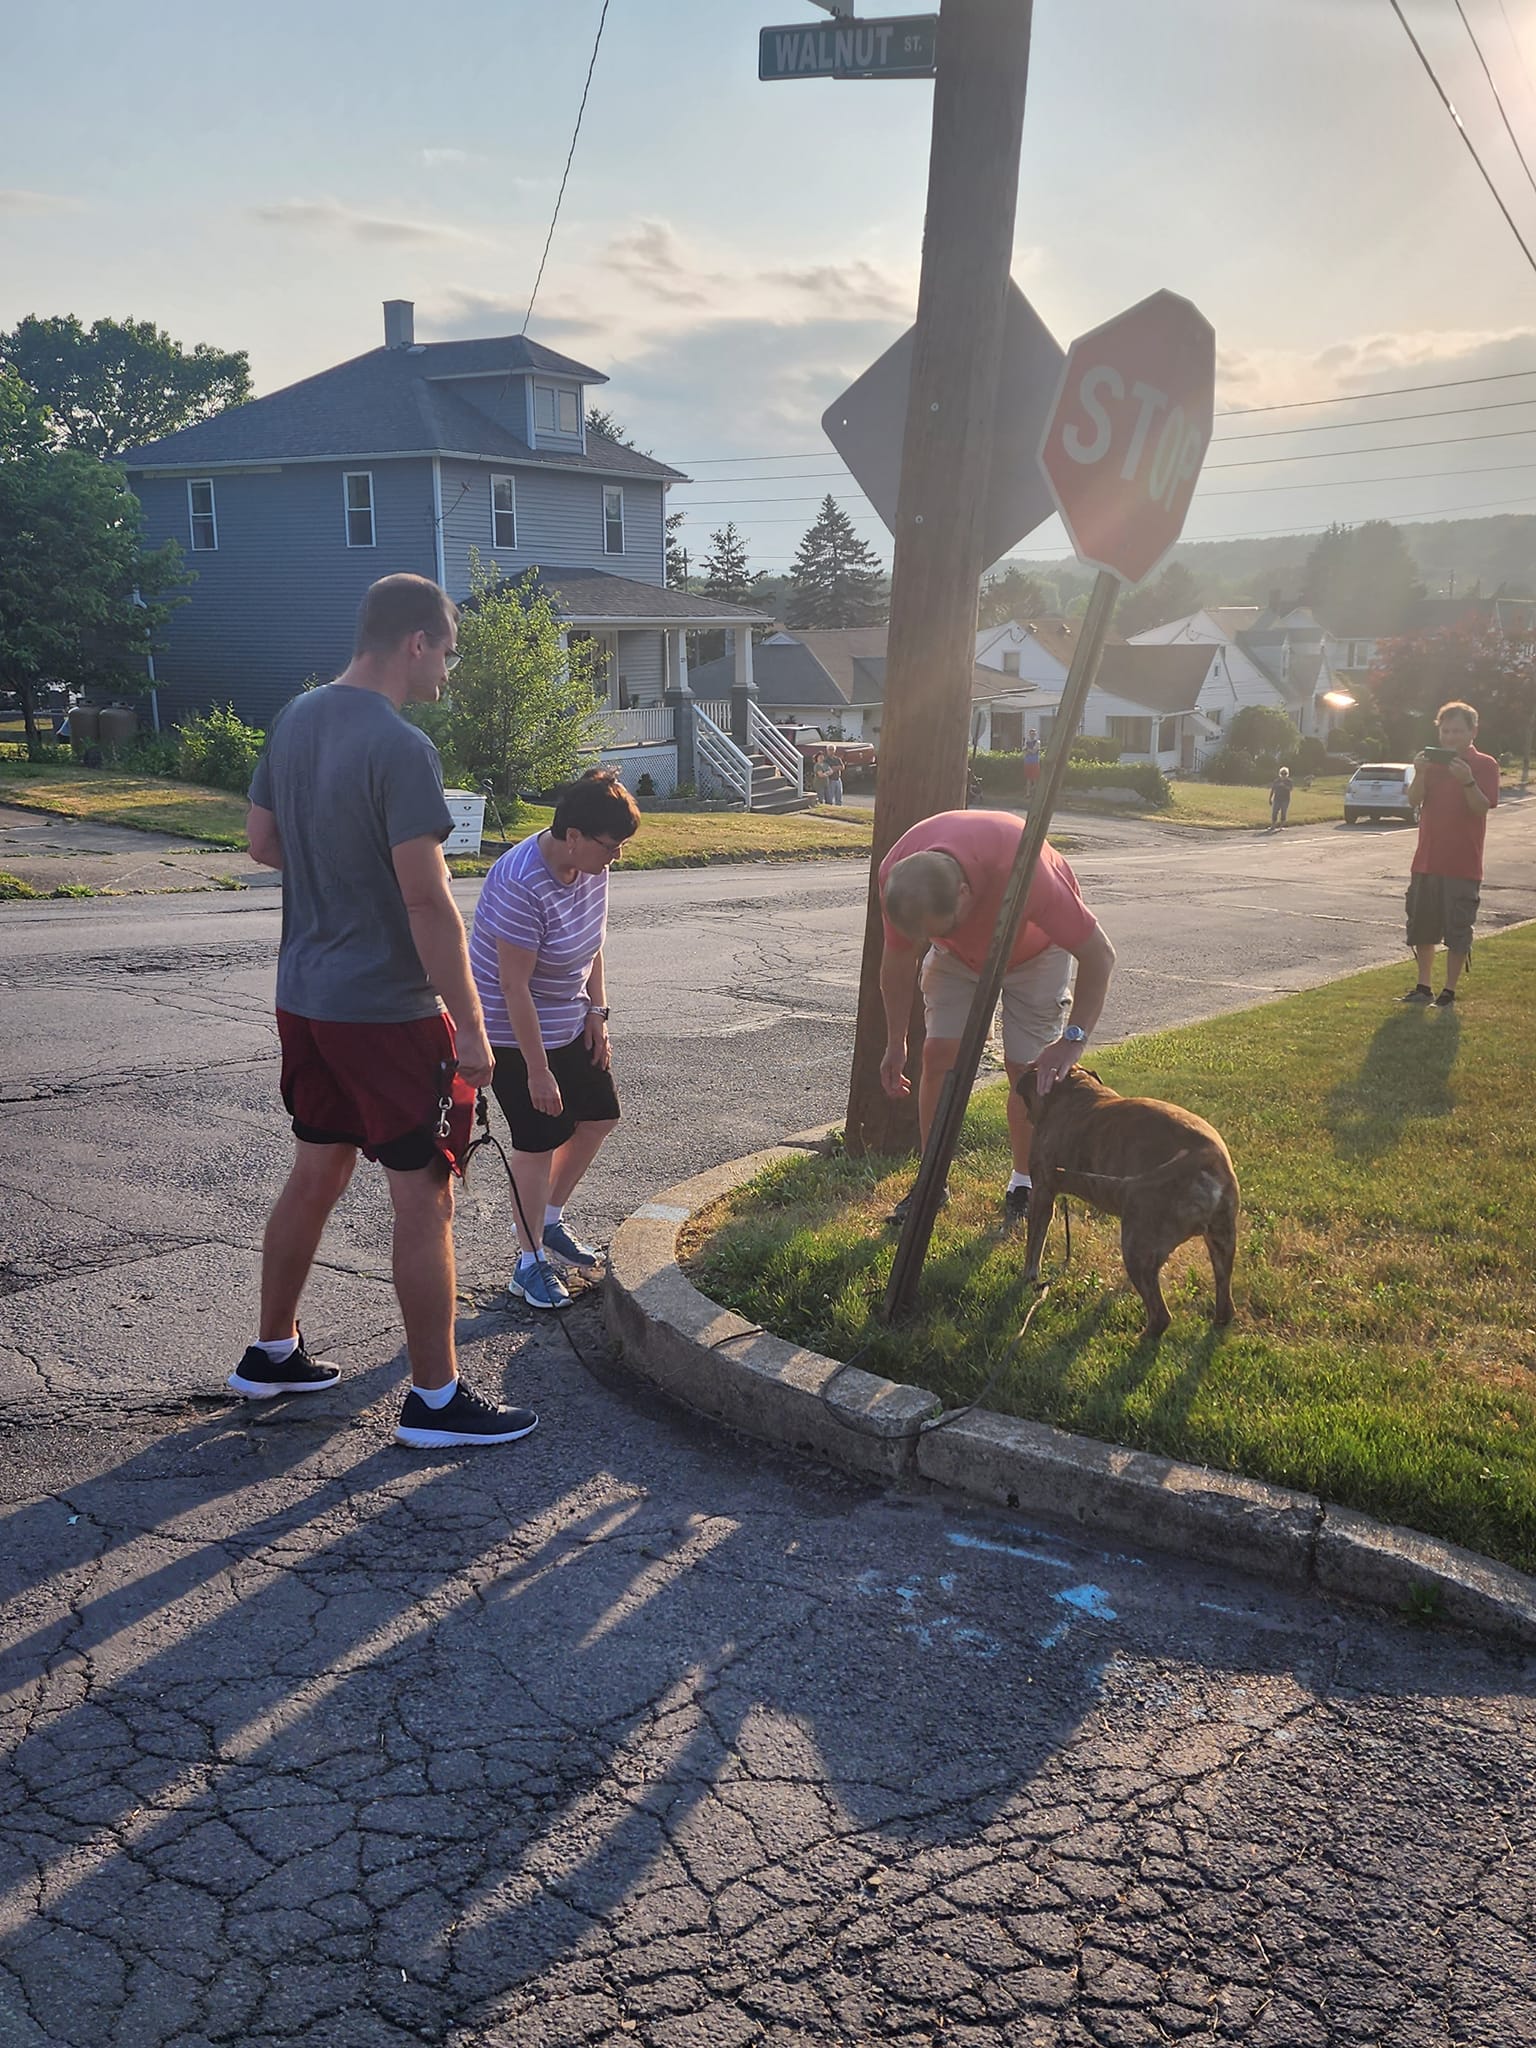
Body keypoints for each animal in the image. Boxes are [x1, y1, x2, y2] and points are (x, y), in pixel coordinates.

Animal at [1015, 1073, 1245, 1343]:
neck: (1072, 1087)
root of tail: (1207, 1163)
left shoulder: (1042, 1193)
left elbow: (1034, 1245)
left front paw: (1028, 1278)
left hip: (1136, 1245)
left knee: (1161, 1315)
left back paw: (1140, 1338)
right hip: (1221, 1240)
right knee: (1224, 1299)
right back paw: (1219, 1320)